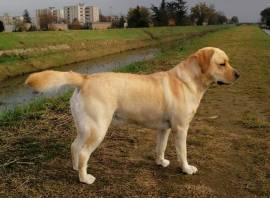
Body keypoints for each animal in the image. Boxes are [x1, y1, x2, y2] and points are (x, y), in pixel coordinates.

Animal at [26, 46, 239, 184]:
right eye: (222, 64)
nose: (238, 75)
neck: (188, 81)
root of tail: (85, 79)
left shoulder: (164, 129)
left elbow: (160, 148)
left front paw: (161, 162)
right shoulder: (180, 129)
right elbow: (183, 153)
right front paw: (187, 169)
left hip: (85, 128)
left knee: (75, 147)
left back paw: (76, 168)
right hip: (98, 129)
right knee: (84, 152)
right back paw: (84, 179)